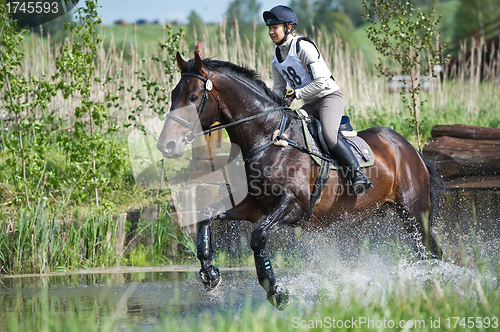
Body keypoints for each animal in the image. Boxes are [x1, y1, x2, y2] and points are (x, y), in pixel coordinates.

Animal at [156, 52, 442, 308]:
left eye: (193, 97)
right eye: (173, 95)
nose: (166, 145)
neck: (267, 138)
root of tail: (408, 147)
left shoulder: (294, 205)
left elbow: (258, 237)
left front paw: (276, 292)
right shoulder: (253, 207)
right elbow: (206, 214)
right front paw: (210, 274)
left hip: (414, 212)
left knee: (430, 250)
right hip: (359, 218)